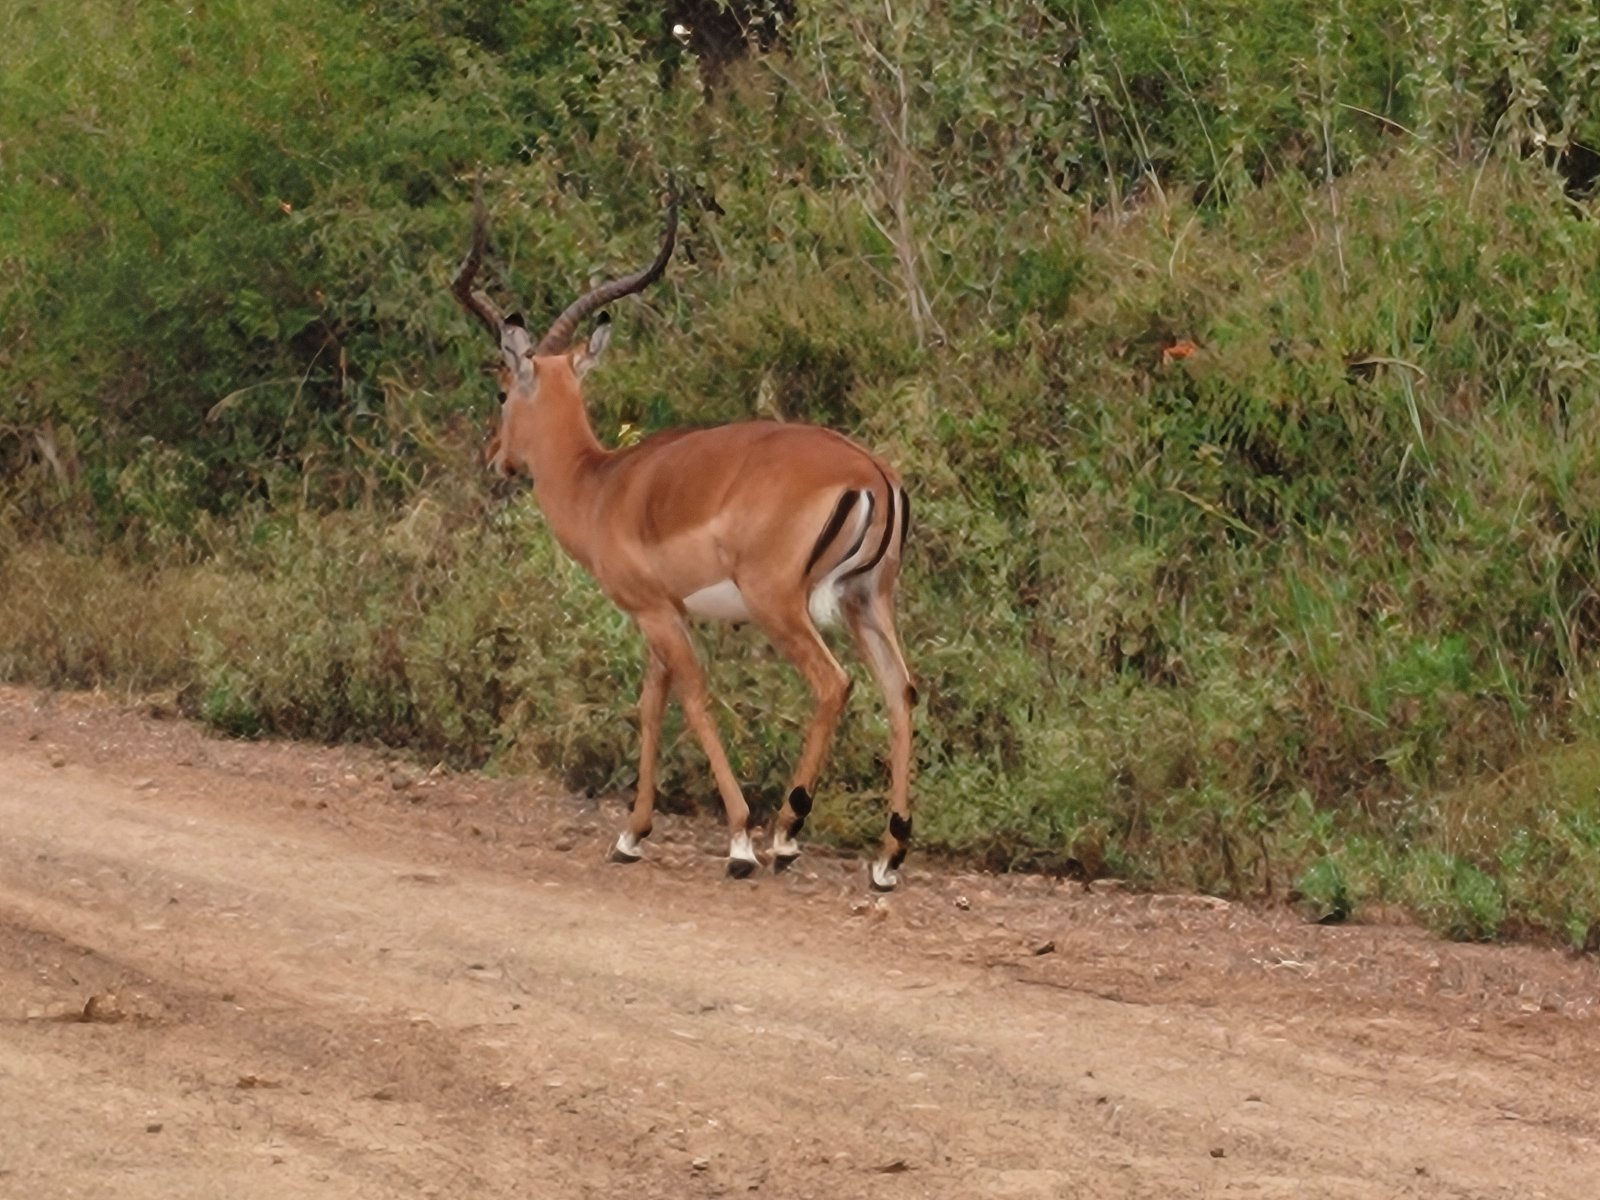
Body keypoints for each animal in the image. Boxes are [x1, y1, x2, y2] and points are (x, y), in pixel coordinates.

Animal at [451, 182, 917, 889]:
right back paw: (887, 857)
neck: (600, 483)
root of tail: (871, 473)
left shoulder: (657, 613)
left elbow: (693, 700)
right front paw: (631, 835)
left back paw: (785, 834)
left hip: (782, 606)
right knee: (901, 691)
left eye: (503, 390)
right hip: (869, 601)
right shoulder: (660, 614)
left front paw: (739, 842)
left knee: (834, 684)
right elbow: (651, 705)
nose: (494, 458)